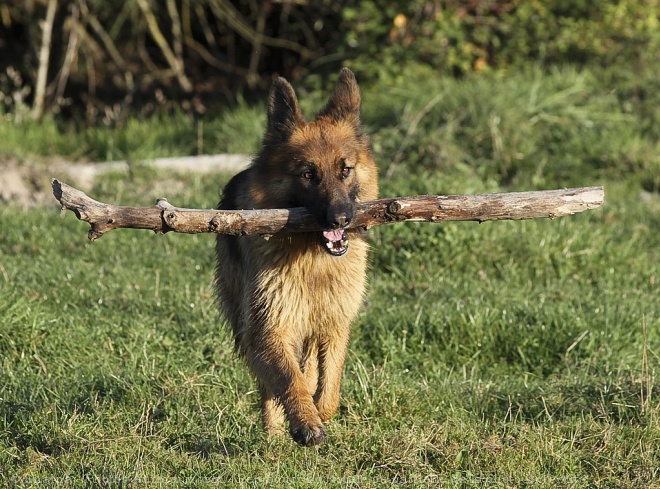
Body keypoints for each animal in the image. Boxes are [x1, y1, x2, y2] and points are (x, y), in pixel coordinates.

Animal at [215, 68, 378, 446]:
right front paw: (305, 421)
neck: (314, 259)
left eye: (345, 170)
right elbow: (289, 380)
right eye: (307, 175)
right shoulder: (269, 326)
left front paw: (320, 410)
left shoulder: (334, 323)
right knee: (268, 384)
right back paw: (274, 435)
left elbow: (328, 384)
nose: (340, 220)